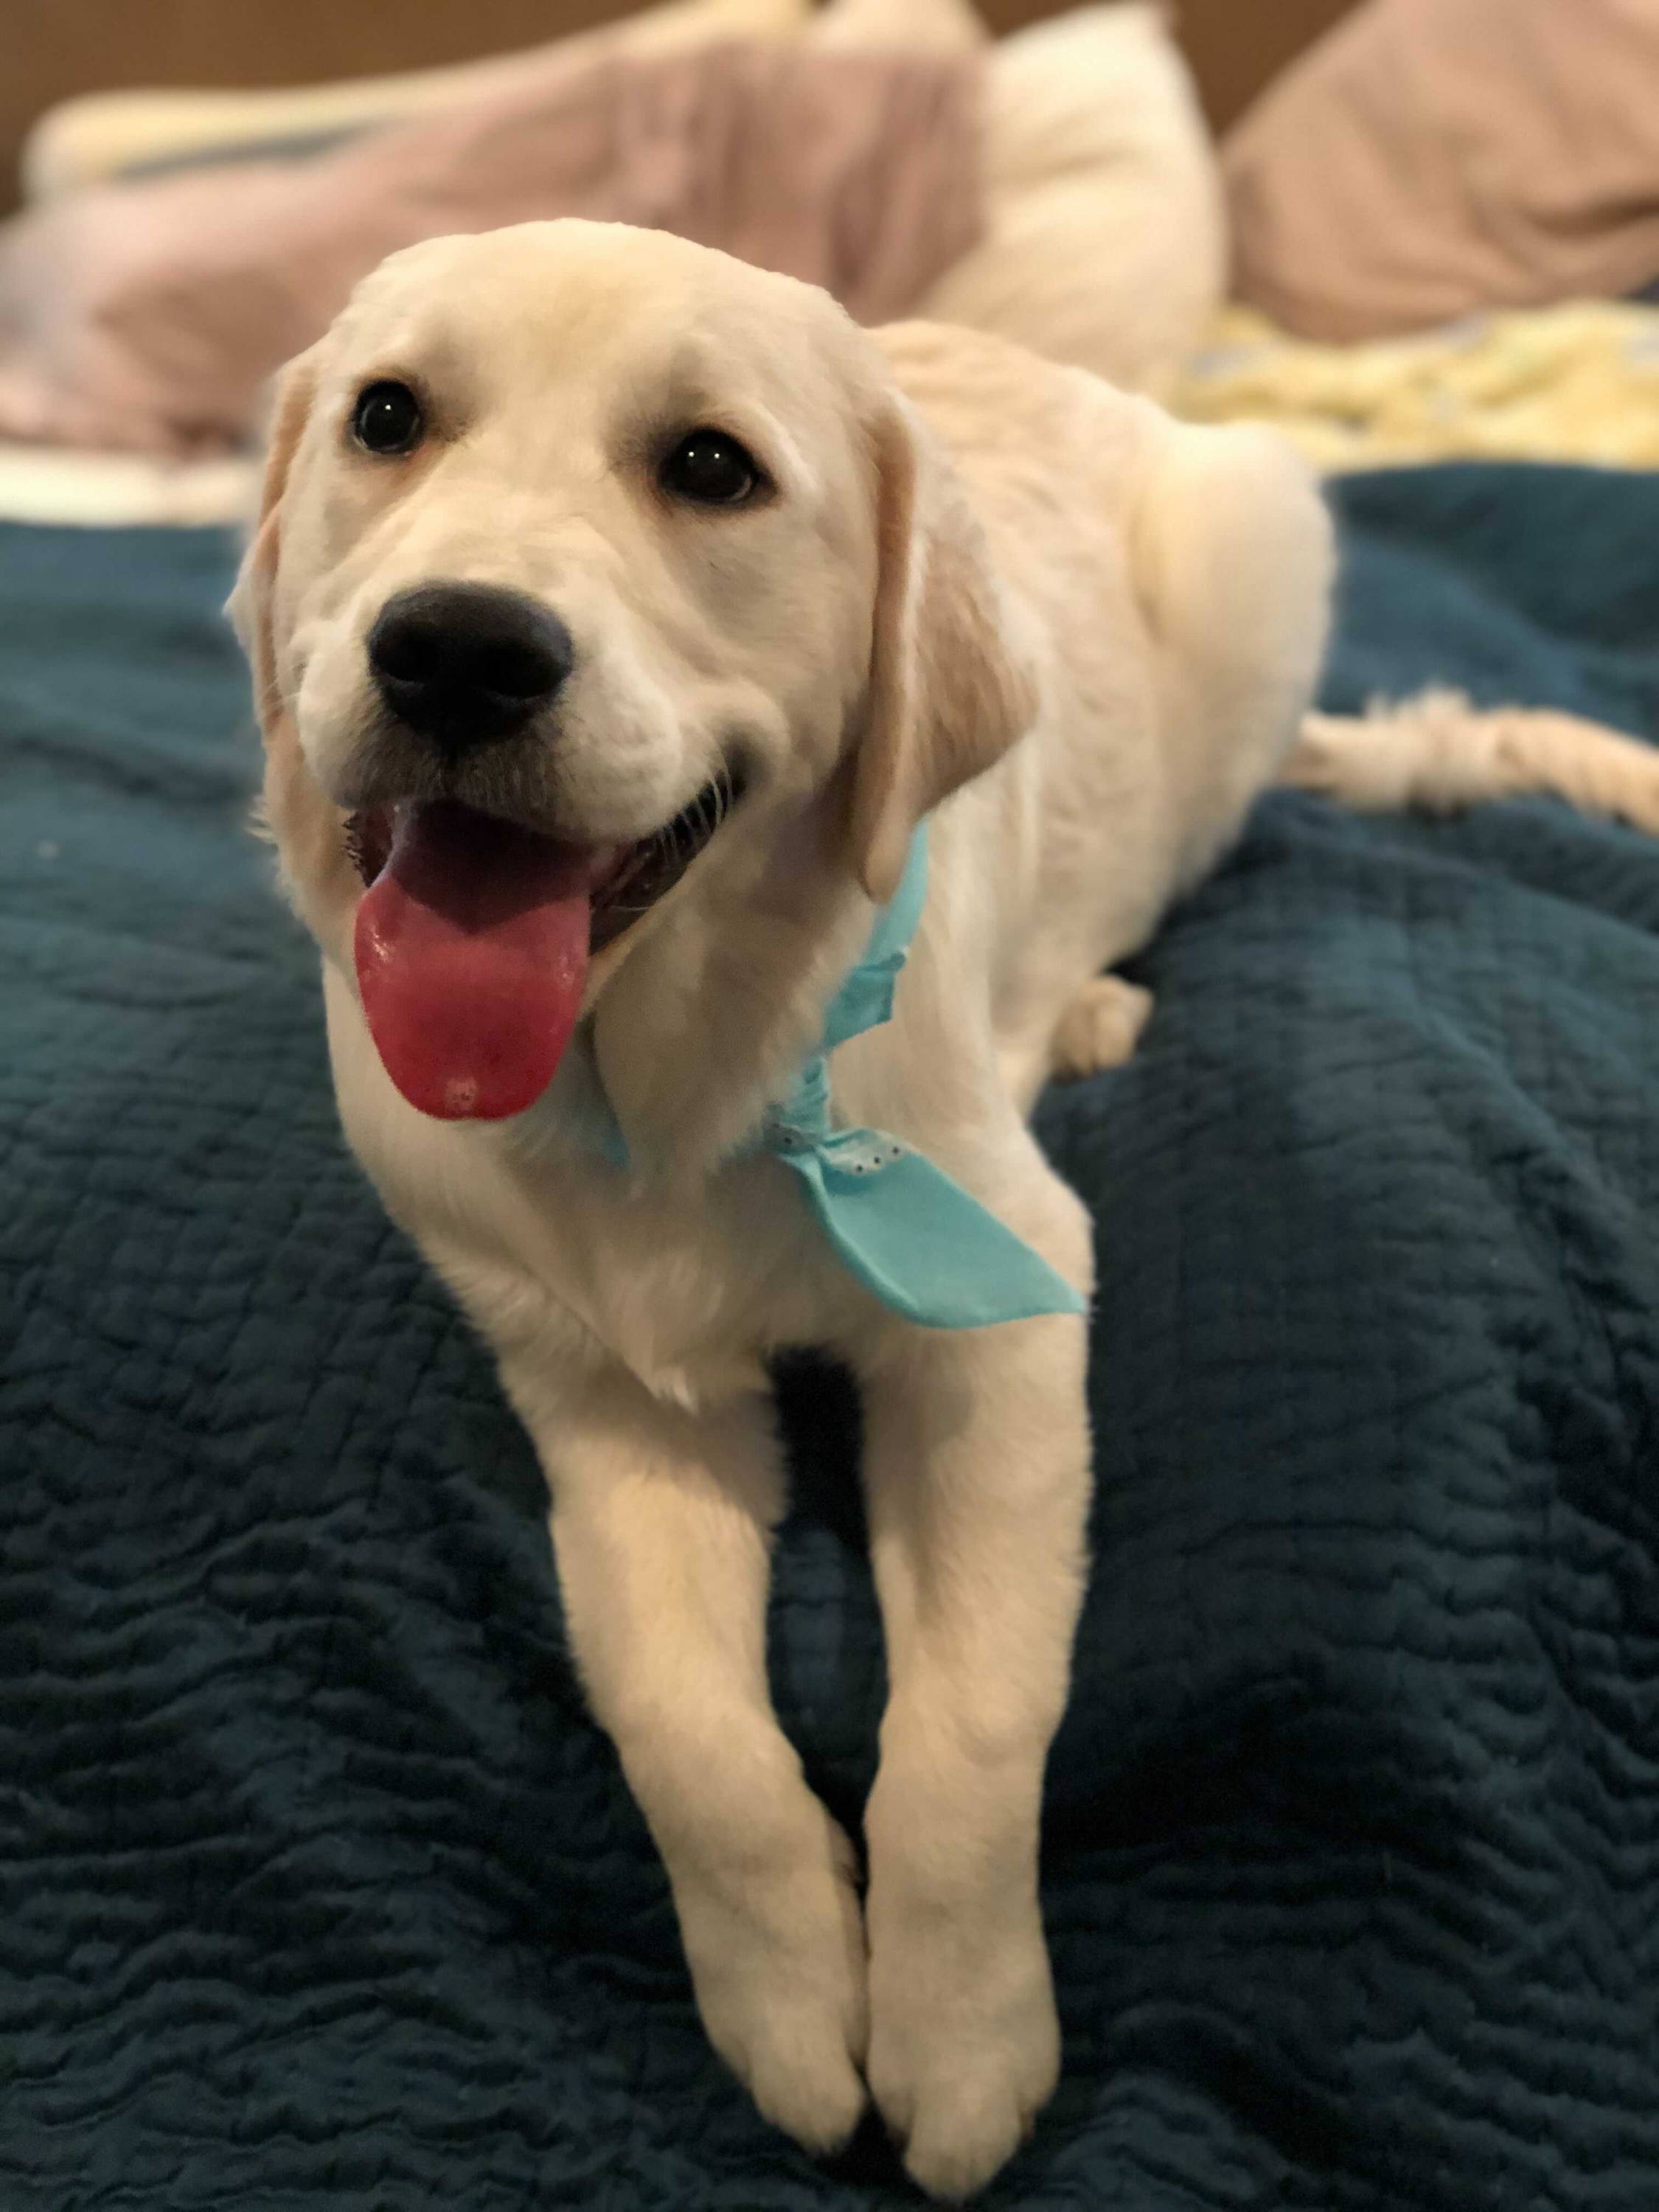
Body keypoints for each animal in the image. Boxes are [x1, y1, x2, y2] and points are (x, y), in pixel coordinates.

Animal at [231, 224, 1336, 2194]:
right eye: (387, 419)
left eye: (711, 467)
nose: (453, 651)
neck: (669, 1073)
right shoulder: (610, 1398)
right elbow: (681, 1731)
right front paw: (792, 2005)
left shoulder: (1001, 1330)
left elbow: (971, 1723)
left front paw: (960, 2044)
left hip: (1262, 532)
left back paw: (1090, 1002)